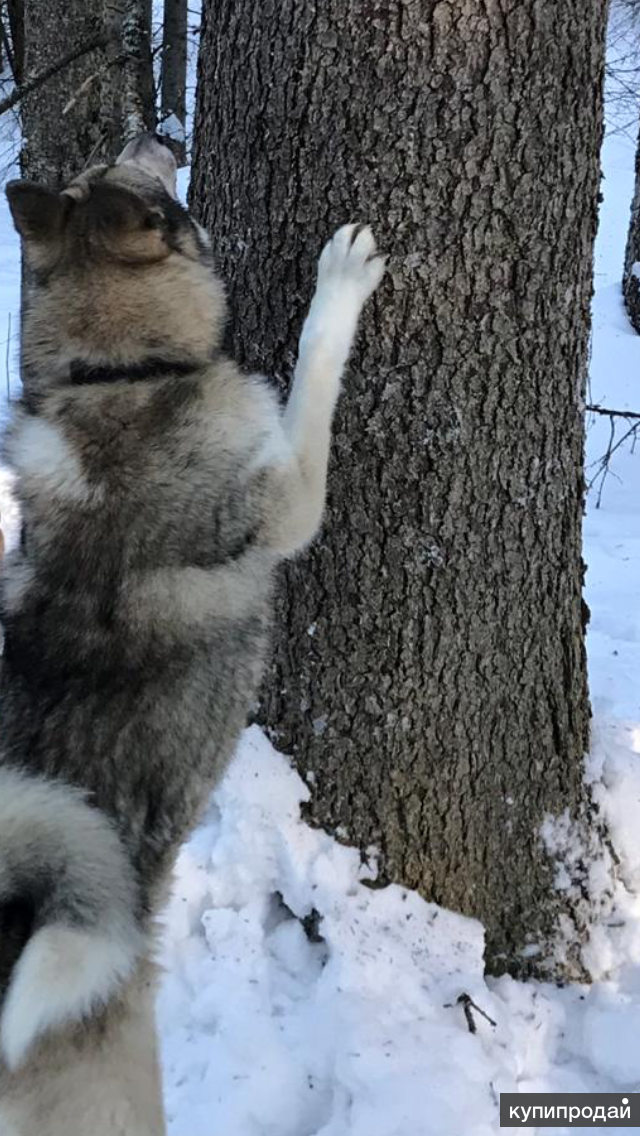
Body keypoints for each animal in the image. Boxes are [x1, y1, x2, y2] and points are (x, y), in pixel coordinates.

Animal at [0, 135, 384, 1136]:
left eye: (113, 158)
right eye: (141, 177)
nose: (163, 136)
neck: (120, 373)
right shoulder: (287, 498)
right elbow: (312, 366)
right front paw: (341, 279)